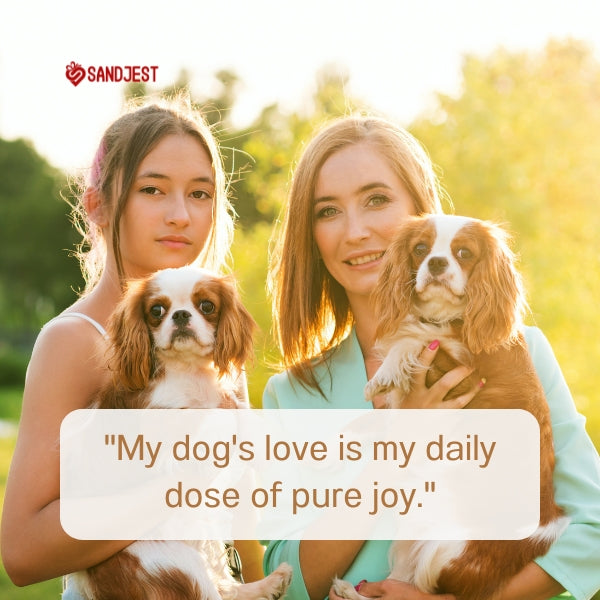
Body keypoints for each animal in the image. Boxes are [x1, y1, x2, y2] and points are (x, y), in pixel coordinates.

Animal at [69, 266, 292, 600]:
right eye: (156, 311)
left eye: (207, 306)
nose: (181, 315)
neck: (190, 373)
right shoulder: (160, 437)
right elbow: (215, 416)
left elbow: (241, 412)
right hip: (175, 560)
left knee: (225, 583)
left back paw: (271, 583)